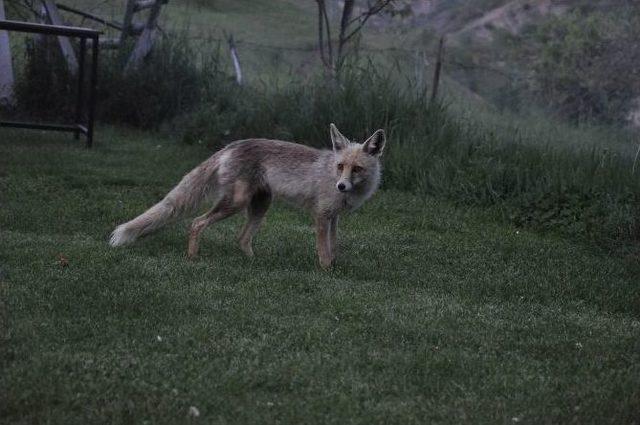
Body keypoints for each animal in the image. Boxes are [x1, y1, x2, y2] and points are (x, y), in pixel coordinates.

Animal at [109, 123, 384, 268]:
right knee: (196, 223)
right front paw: (326, 272)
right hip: (236, 203)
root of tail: (231, 146)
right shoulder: (321, 215)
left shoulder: (334, 217)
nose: (341, 186)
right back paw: (193, 258)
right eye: (340, 166)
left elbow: (334, 246)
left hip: (261, 206)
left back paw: (254, 263)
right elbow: (324, 251)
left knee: (241, 239)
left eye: (356, 169)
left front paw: (335, 268)